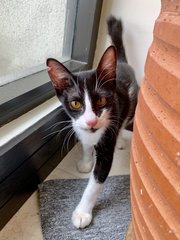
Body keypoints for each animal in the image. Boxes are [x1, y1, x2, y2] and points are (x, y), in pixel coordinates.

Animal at [46, 15, 138, 229]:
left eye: (102, 100)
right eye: (76, 103)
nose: (91, 121)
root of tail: (121, 62)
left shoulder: (107, 142)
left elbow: (95, 182)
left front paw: (82, 213)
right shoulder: (79, 127)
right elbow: (86, 145)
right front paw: (86, 161)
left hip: (131, 102)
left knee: (124, 120)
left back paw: (120, 140)